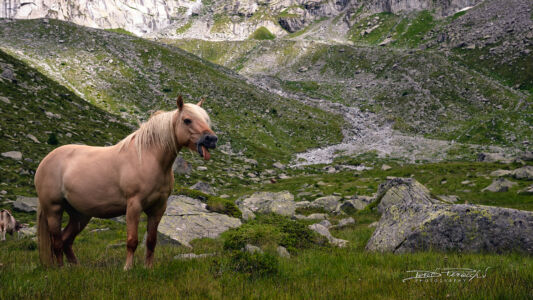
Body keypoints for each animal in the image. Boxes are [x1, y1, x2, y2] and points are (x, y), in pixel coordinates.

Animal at [33, 96, 216, 270]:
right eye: (187, 120)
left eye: (206, 119)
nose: (212, 139)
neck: (149, 158)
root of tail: (46, 160)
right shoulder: (134, 206)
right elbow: (132, 240)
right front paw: (127, 268)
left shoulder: (158, 208)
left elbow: (151, 241)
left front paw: (148, 268)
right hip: (54, 209)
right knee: (57, 242)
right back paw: (60, 269)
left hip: (80, 215)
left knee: (66, 240)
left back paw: (76, 268)